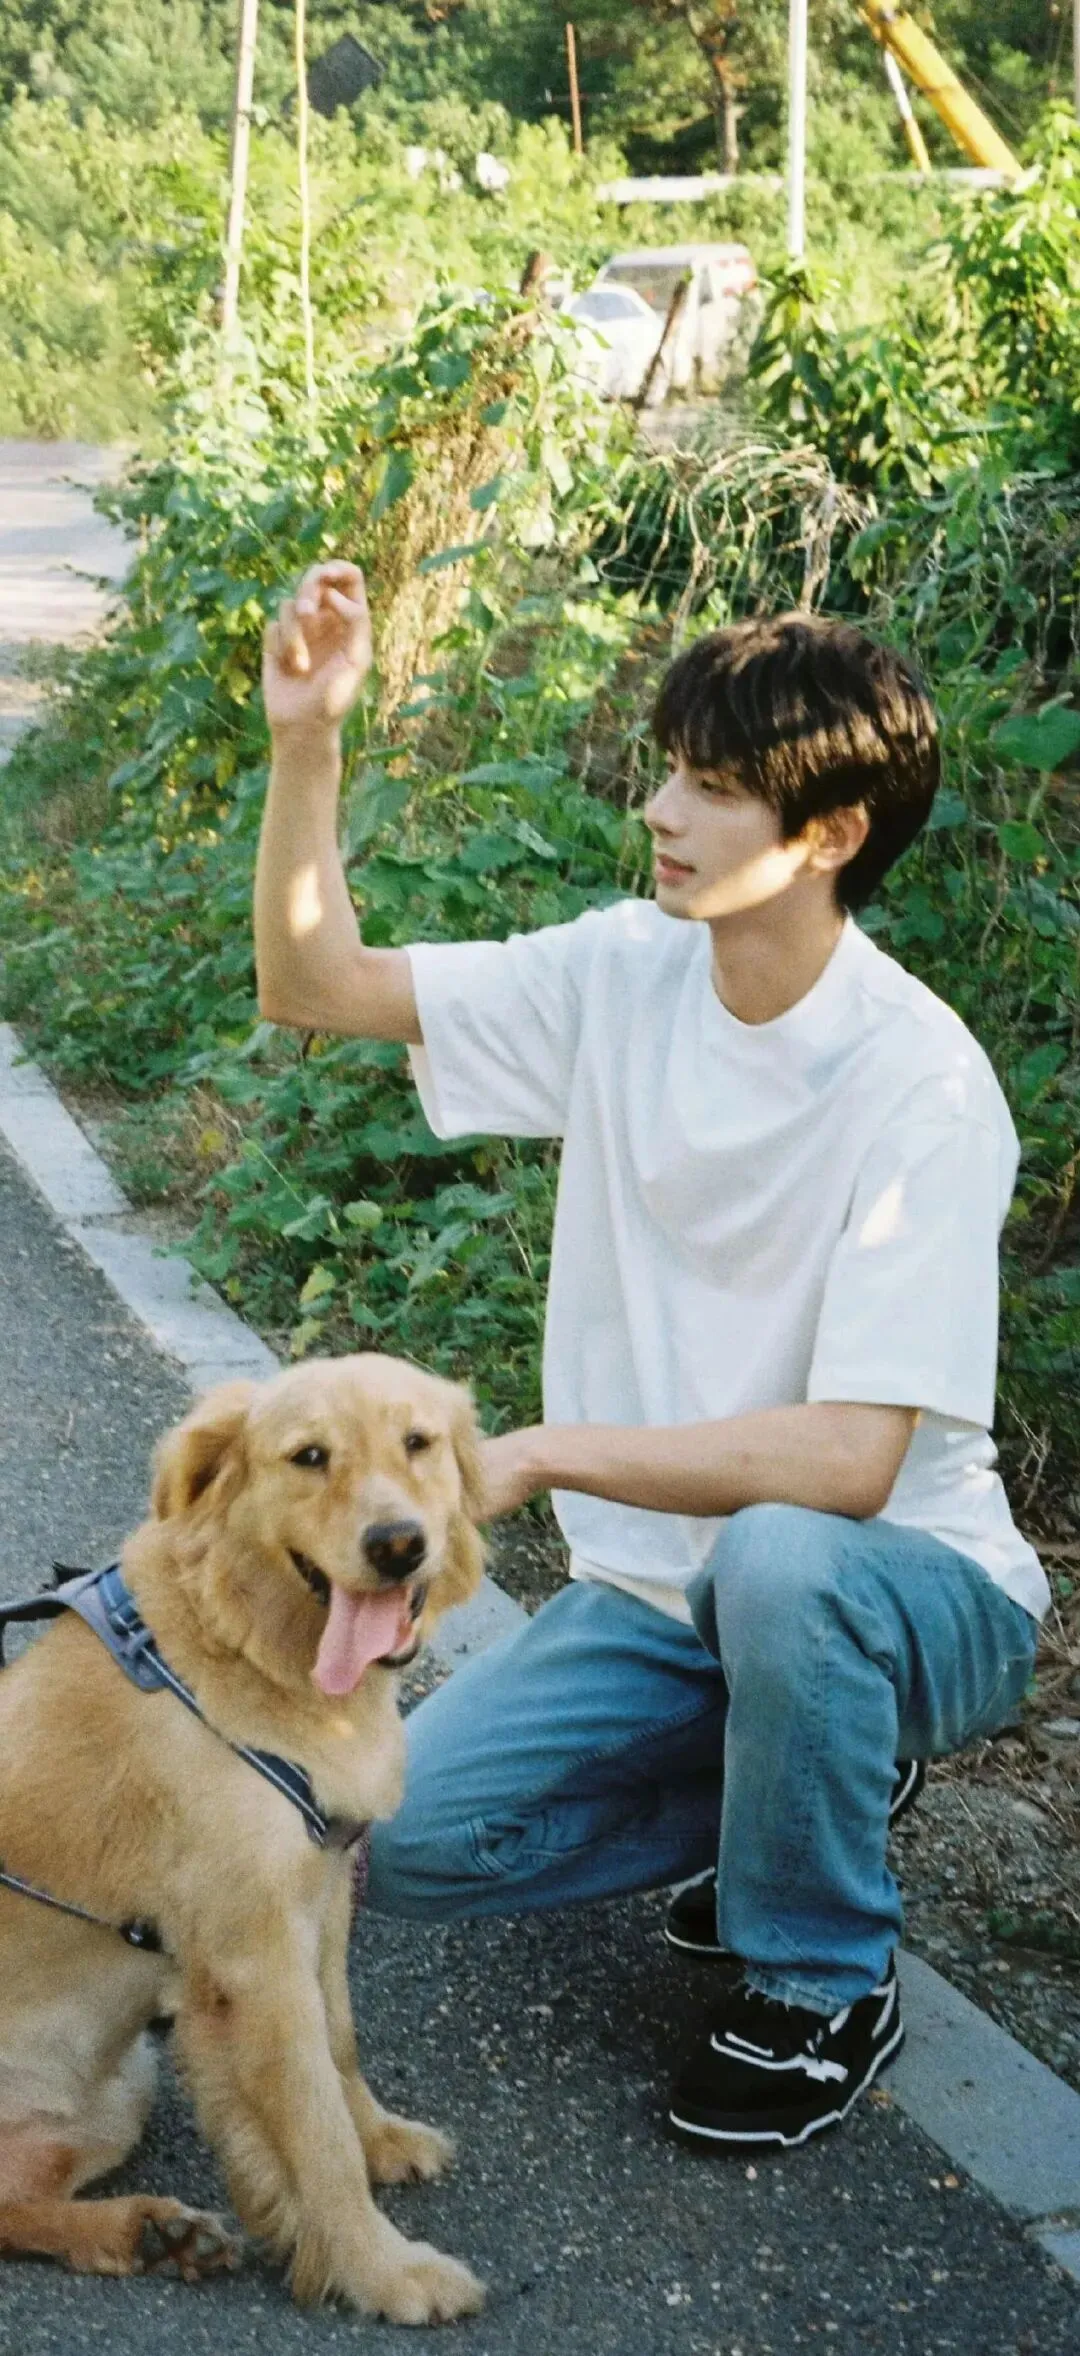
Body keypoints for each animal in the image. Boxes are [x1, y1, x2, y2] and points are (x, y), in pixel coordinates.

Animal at [0, 1353, 487, 2324]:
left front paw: (381, 2139)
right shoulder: (252, 1959)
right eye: (309, 1456)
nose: (398, 1544)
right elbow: (313, 2126)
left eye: (418, 1442)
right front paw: (383, 2269)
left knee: (12, 2205)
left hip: (122, 2090)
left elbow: (341, 2047)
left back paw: (147, 2233)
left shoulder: (323, 1900)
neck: (248, 1650)